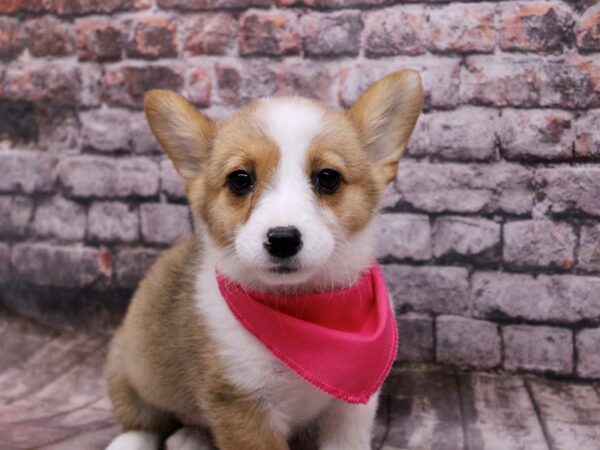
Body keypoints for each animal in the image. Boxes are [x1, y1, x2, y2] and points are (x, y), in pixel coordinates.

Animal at [105, 70, 422, 450]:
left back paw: (192, 437)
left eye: (328, 177)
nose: (282, 239)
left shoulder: (350, 409)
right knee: (142, 421)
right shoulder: (243, 405)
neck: (300, 309)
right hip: (130, 369)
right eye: (240, 180)